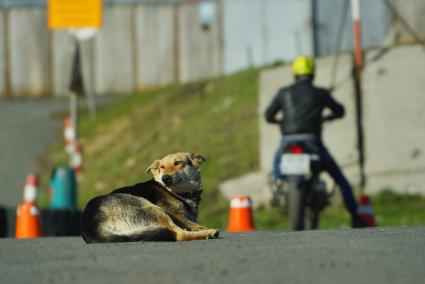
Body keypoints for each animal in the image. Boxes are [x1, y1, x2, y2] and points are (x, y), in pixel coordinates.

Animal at [80, 152, 219, 243]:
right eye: (162, 167)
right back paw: (210, 233)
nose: (165, 178)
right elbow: (194, 225)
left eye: (178, 163)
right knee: (179, 234)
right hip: (151, 207)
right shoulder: (178, 216)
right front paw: (202, 229)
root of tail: (91, 226)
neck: (177, 193)